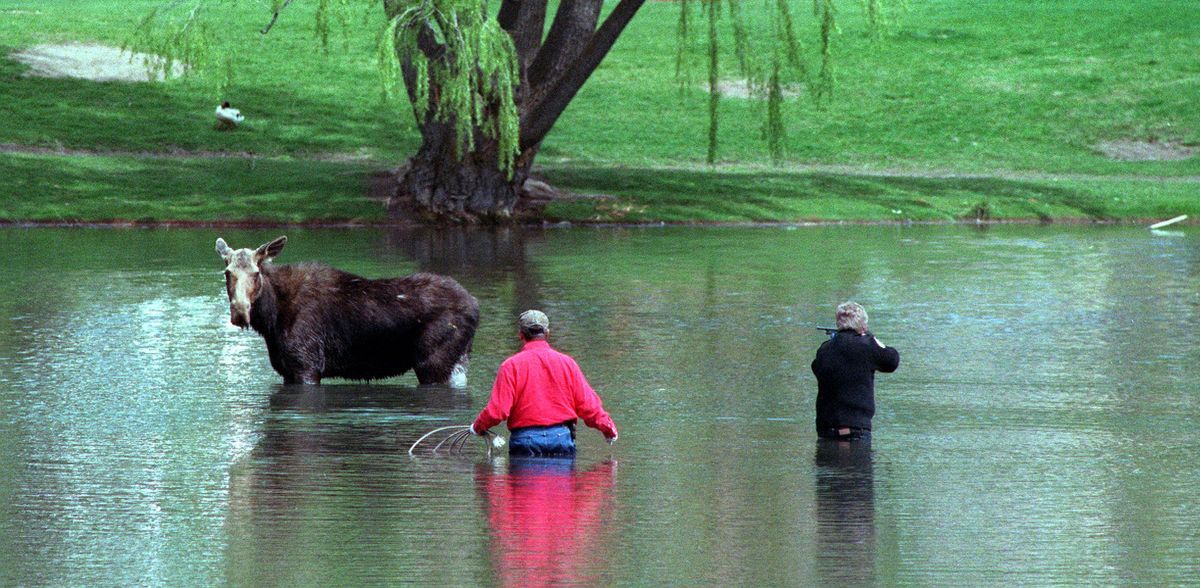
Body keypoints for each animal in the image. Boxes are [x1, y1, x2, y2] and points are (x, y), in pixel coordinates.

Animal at [216, 234, 477, 386]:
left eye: (255, 273)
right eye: (227, 272)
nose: (240, 311)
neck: (271, 320)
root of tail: (475, 306)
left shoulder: (307, 364)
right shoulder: (287, 370)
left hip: (434, 362)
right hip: (459, 359)